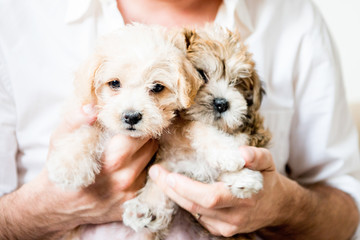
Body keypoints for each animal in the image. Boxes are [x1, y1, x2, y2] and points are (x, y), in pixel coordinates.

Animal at [122, 24, 272, 240]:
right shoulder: (168, 155)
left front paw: (241, 175)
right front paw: (147, 206)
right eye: (201, 74)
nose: (222, 103)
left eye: (237, 83)